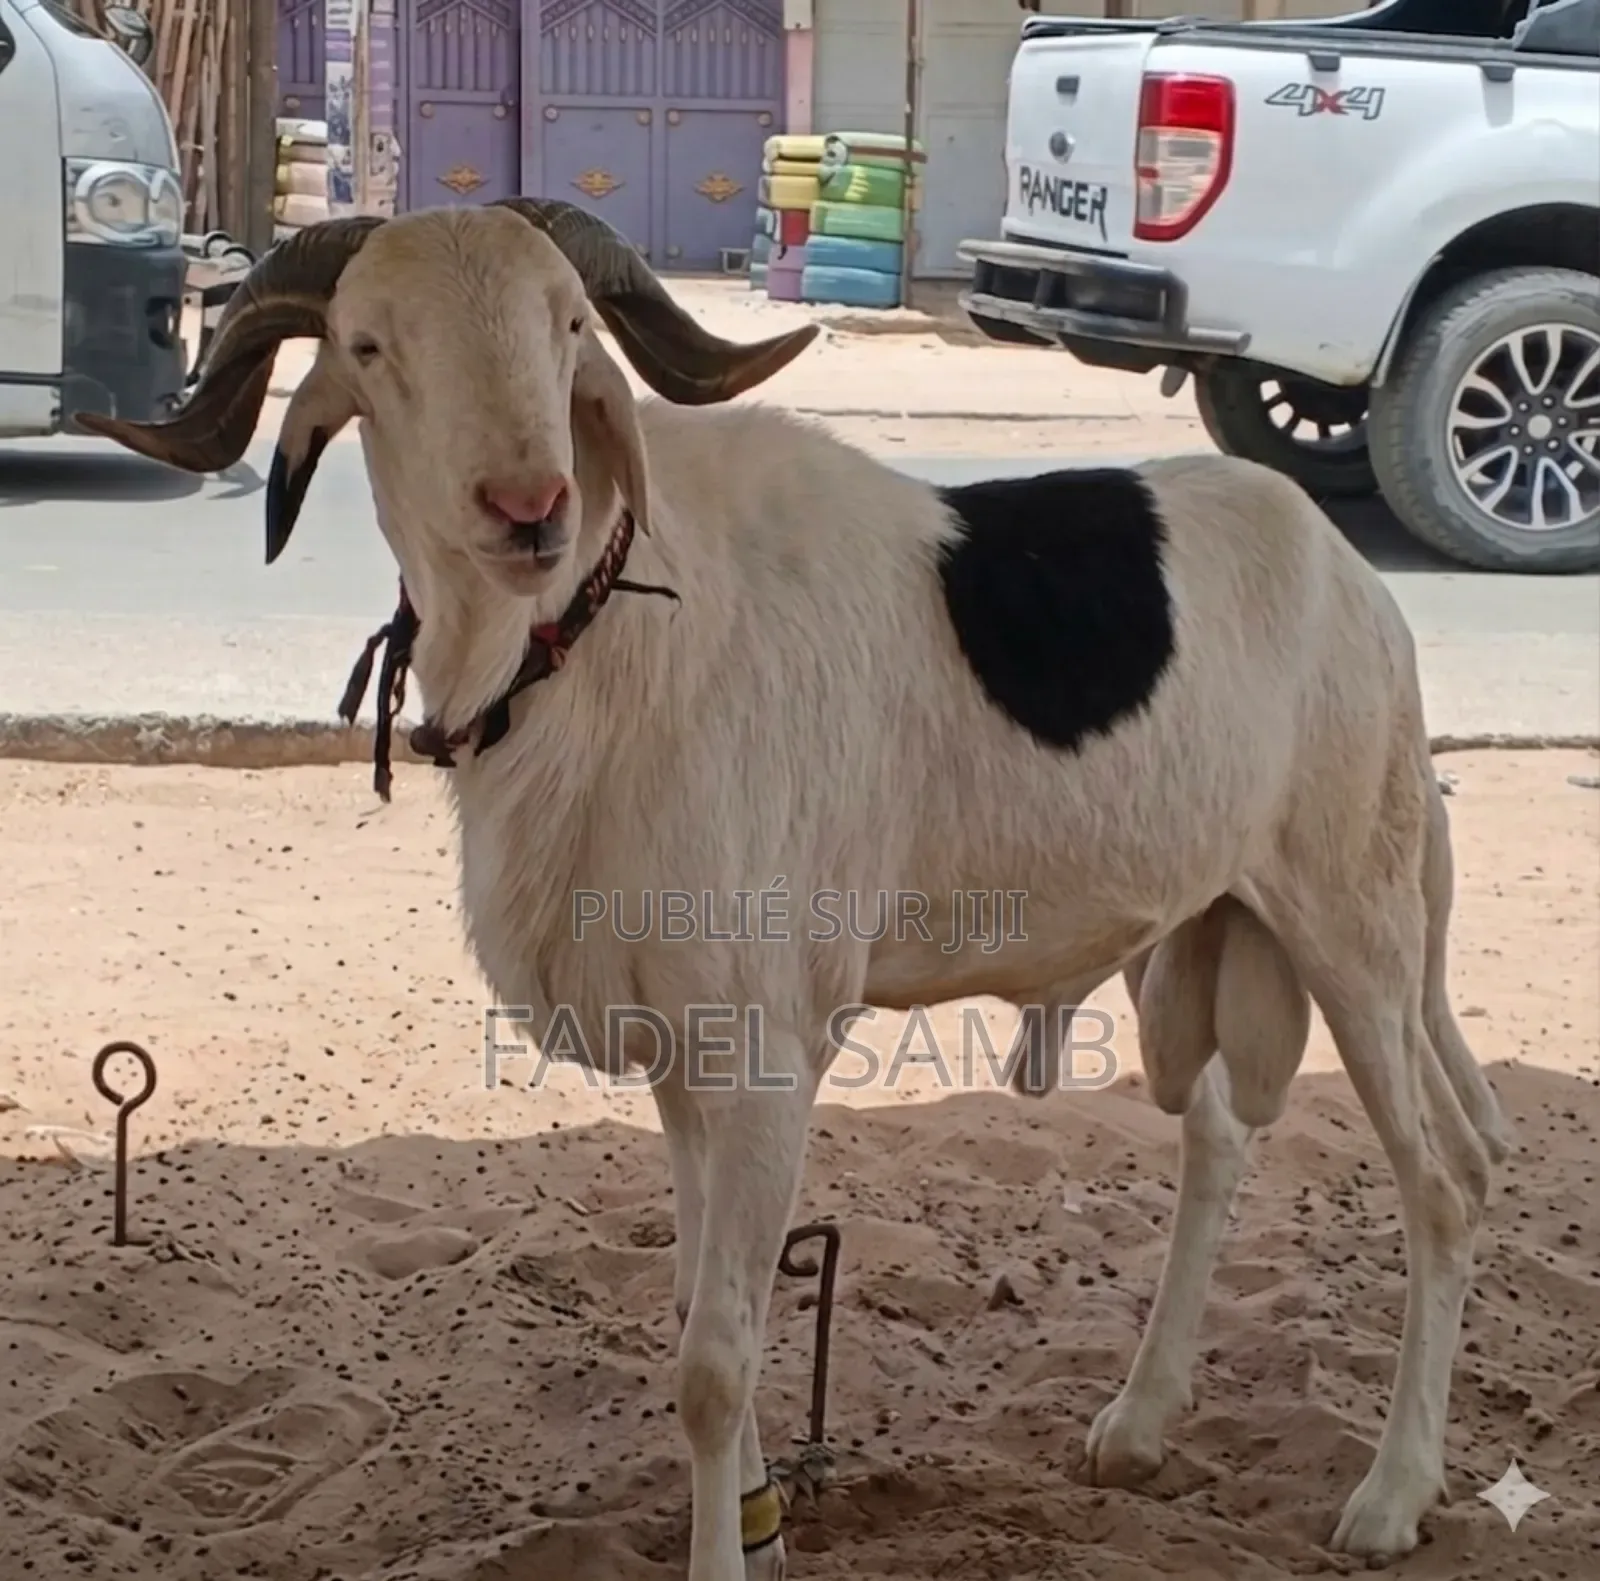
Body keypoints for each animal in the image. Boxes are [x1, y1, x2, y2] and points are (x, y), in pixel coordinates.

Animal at [78, 198, 1514, 1580]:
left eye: (566, 325)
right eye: (370, 346)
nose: (529, 508)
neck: (603, 636)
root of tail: (1357, 582)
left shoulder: (767, 1057)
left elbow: (715, 1360)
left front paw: (730, 1550)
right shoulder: (680, 1057)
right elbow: (695, 1310)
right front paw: (761, 1521)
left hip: (1358, 924)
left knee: (1444, 1188)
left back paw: (1391, 1495)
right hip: (1206, 926)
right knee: (1218, 1137)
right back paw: (1144, 1421)